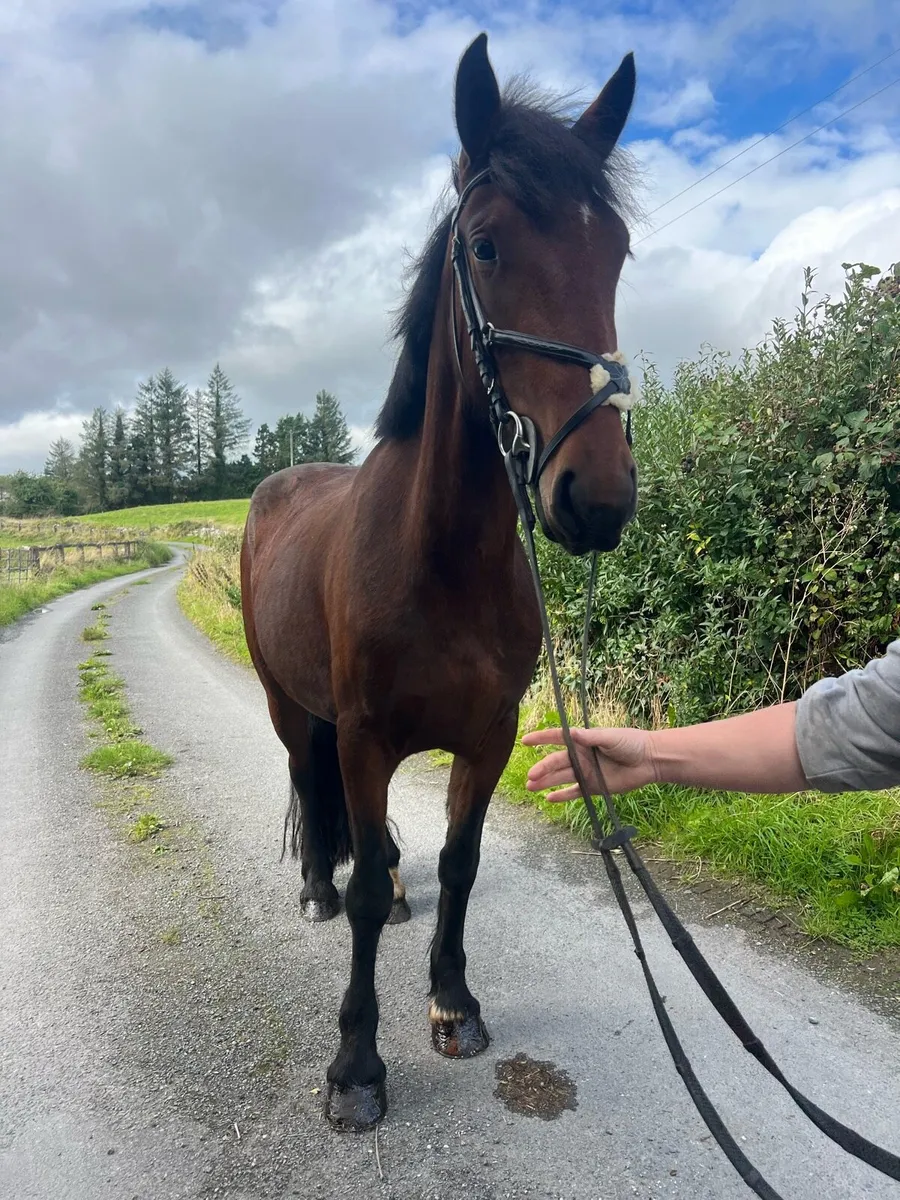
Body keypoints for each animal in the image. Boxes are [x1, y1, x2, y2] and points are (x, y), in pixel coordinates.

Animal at [240, 32, 638, 1131]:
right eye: (488, 246)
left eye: (617, 249)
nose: (597, 495)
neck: (440, 563)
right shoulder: (367, 737)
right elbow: (367, 895)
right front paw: (356, 1065)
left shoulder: (487, 734)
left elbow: (457, 861)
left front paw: (454, 1001)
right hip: (292, 705)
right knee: (313, 790)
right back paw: (315, 887)